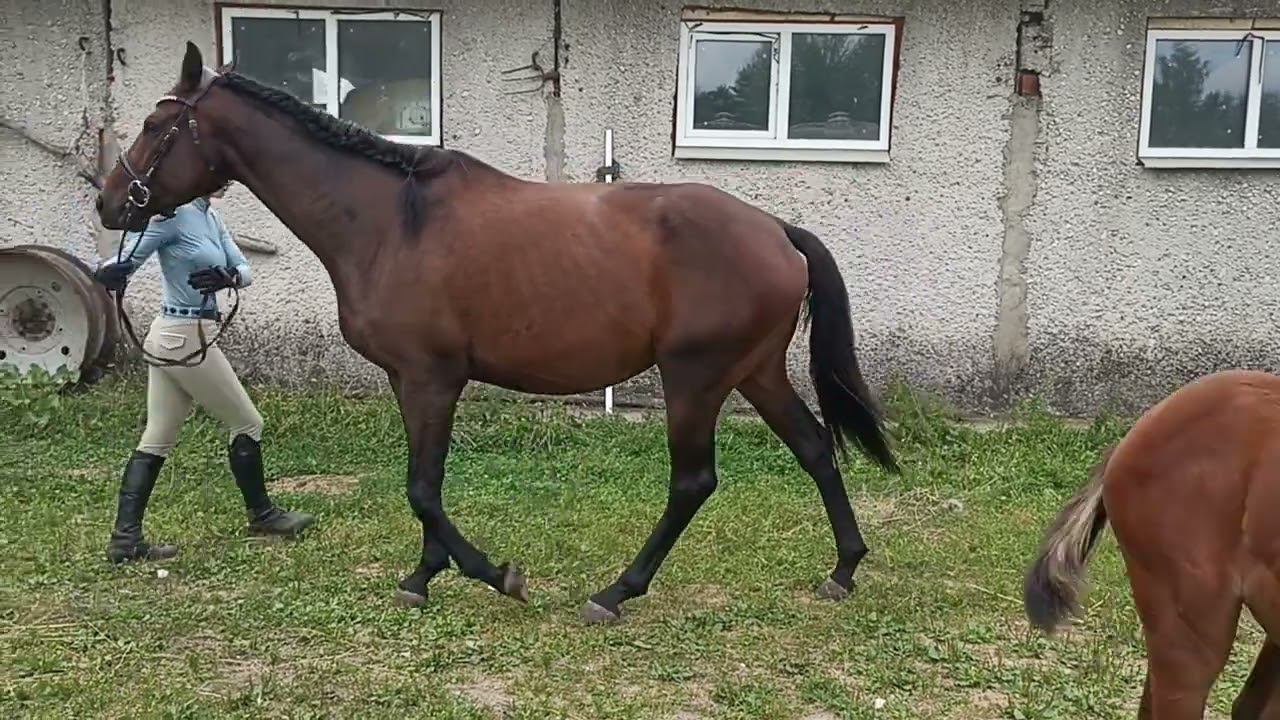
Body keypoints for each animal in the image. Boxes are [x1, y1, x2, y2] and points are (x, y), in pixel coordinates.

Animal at [94, 41, 896, 620]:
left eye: (158, 125)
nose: (109, 201)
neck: (391, 223)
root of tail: (777, 231)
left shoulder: (431, 378)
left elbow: (422, 488)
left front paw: (495, 574)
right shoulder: (411, 381)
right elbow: (424, 484)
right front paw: (423, 576)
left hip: (695, 377)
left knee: (693, 481)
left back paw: (615, 593)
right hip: (754, 372)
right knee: (816, 450)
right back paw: (844, 569)